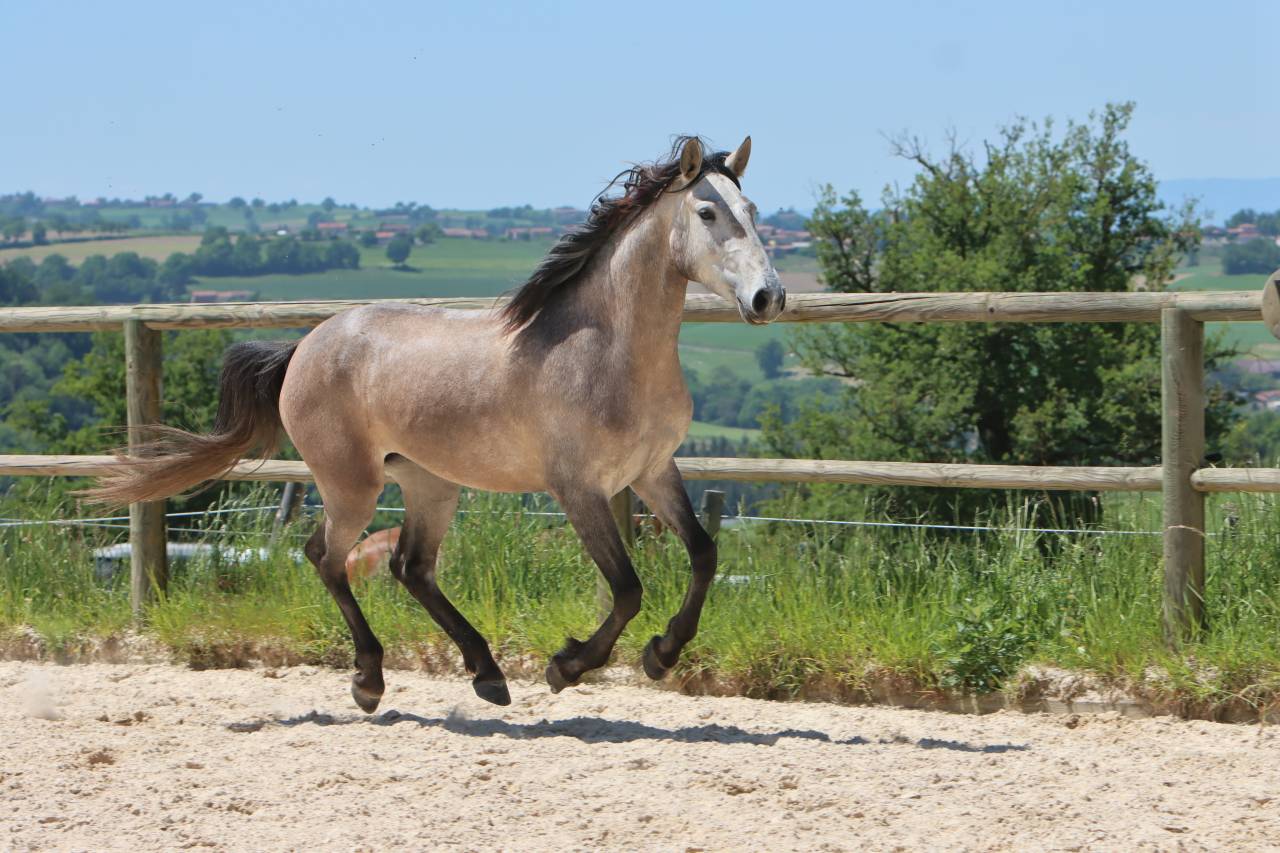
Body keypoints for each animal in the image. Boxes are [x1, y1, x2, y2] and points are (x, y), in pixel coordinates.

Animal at [89, 135, 785, 712]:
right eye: (708, 214)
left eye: (753, 211)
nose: (768, 298)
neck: (607, 351)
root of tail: (305, 346)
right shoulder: (578, 488)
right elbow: (627, 587)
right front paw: (567, 666)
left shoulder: (651, 472)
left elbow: (703, 554)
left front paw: (661, 656)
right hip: (352, 484)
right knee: (326, 557)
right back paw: (370, 680)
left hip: (429, 483)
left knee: (410, 568)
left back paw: (487, 674)